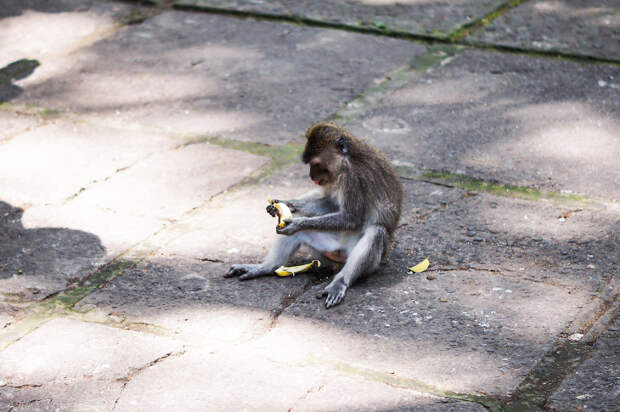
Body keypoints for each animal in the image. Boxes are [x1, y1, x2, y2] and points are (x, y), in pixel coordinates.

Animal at [225, 120, 404, 308]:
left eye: (316, 163)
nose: (311, 176)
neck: (347, 160)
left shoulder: (353, 179)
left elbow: (351, 218)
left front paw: (297, 223)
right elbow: (330, 204)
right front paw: (284, 204)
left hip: (372, 259)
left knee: (376, 232)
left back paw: (340, 281)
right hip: (326, 251)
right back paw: (267, 267)